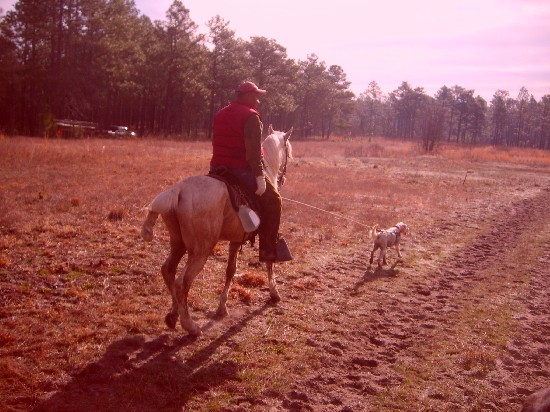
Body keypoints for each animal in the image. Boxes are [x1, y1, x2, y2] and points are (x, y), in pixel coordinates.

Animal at [141, 126, 294, 338]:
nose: (283, 177)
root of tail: (178, 189)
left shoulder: (235, 240)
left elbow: (231, 270)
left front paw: (222, 307)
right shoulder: (266, 236)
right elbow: (269, 262)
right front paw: (274, 292)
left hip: (178, 244)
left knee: (168, 271)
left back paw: (174, 315)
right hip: (201, 251)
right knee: (182, 283)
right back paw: (191, 326)